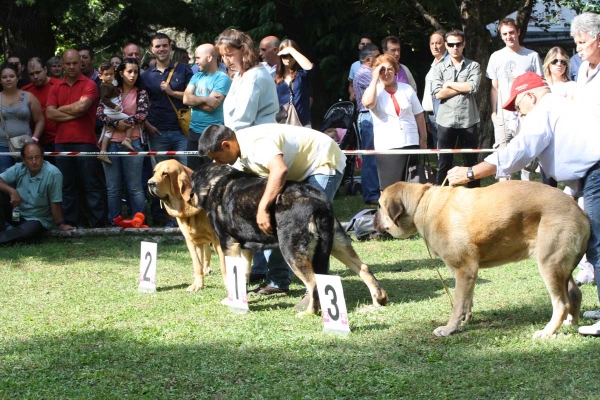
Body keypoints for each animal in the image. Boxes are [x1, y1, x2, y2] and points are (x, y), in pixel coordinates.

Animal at [148, 159, 225, 290]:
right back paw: (206, 270)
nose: (150, 183)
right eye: (154, 172)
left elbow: (225, 265)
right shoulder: (191, 241)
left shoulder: (220, 240)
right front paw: (197, 285)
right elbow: (197, 264)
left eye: (165, 174)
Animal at [189, 162, 390, 312]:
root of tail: (317, 200)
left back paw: (309, 313)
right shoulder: (244, 248)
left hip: (291, 250)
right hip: (337, 243)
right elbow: (242, 274)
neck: (216, 183)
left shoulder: (227, 244)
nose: (189, 199)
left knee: (314, 282)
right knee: (363, 267)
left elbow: (230, 276)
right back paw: (378, 299)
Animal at [372, 180, 588, 340]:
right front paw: (464, 320)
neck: (422, 204)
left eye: (380, 206)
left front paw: (449, 328)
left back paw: (547, 332)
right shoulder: (466, 274)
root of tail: (580, 211)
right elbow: (467, 300)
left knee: (561, 304)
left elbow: (458, 303)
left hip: (549, 264)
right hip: (561, 268)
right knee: (575, 294)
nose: (373, 218)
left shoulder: (464, 270)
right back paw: (571, 323)